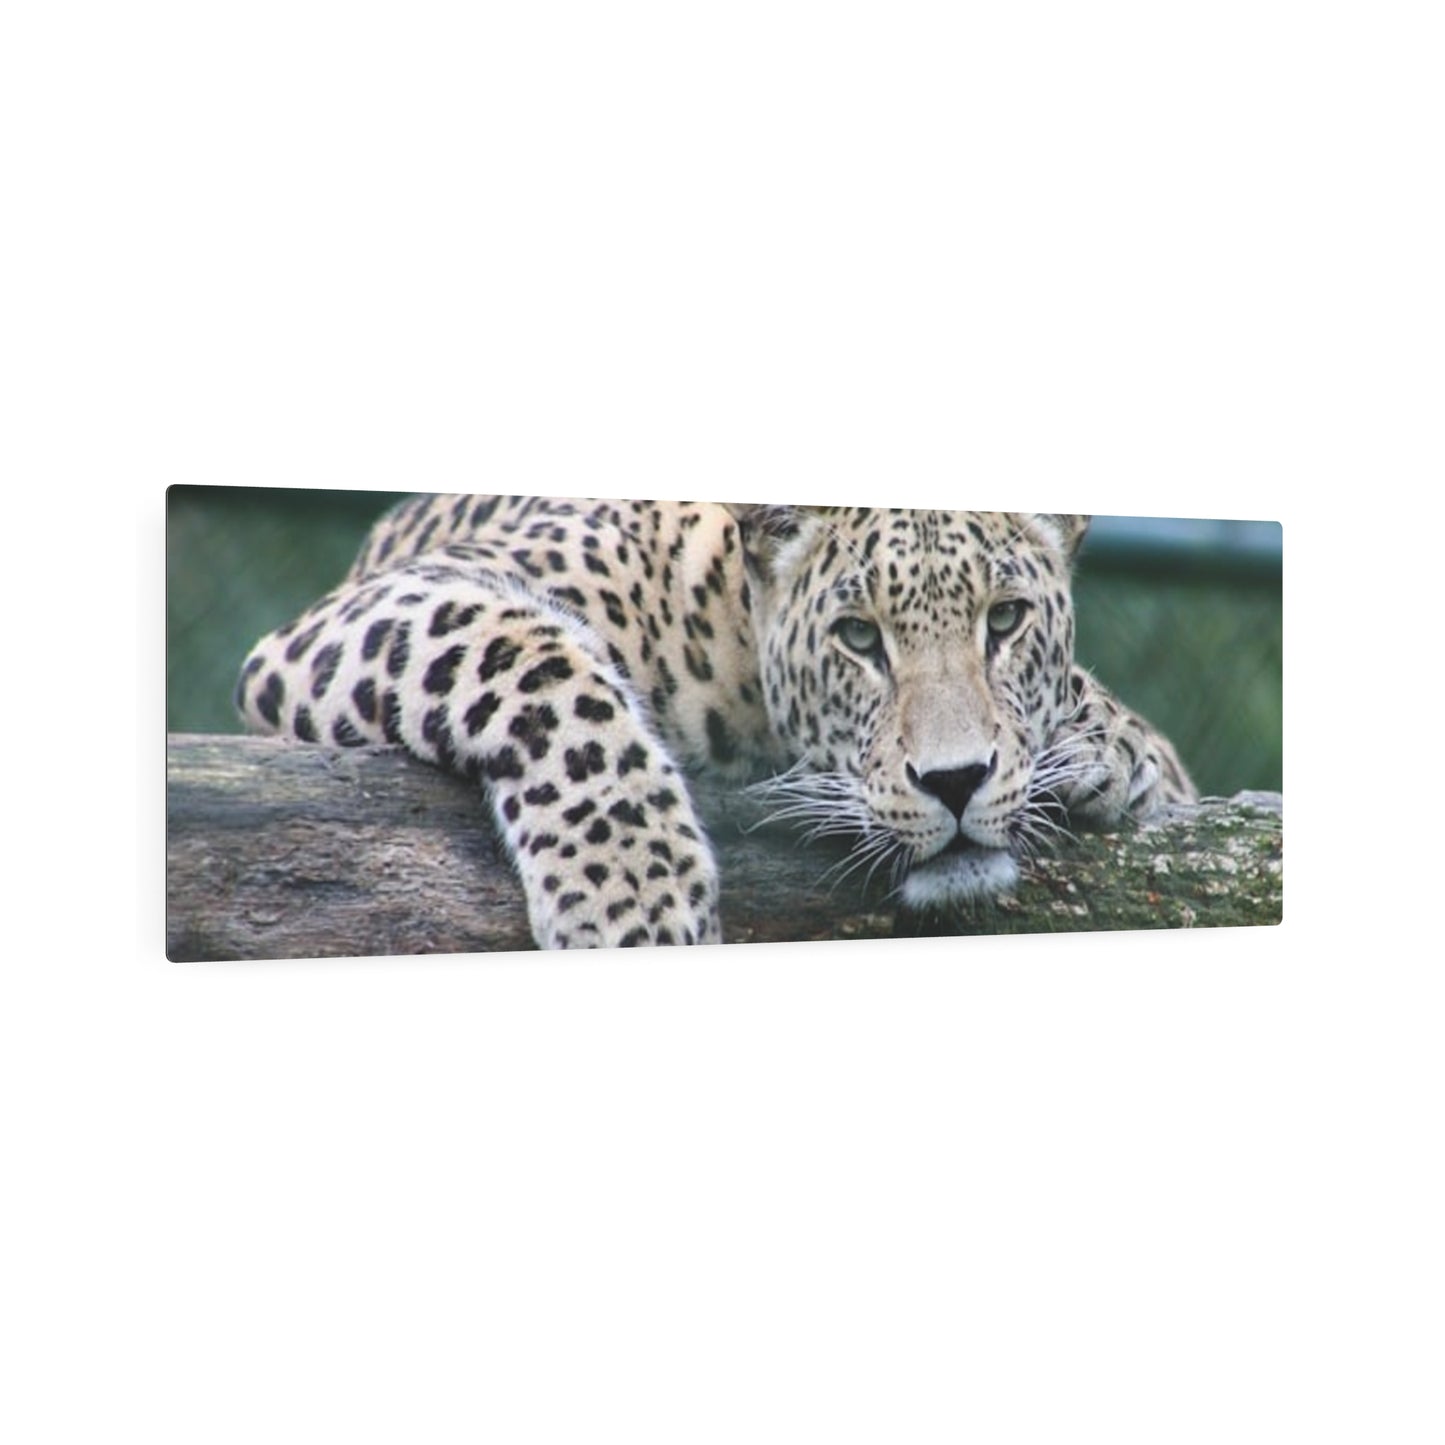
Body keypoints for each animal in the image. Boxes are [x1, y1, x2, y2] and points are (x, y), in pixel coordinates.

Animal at [236, 495, 1196, 949]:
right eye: (858, 637)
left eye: (1004, 620)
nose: (955, 781)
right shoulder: (367, 612)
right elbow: (536, 658)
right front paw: (631, 896)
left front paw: (1107, 747)